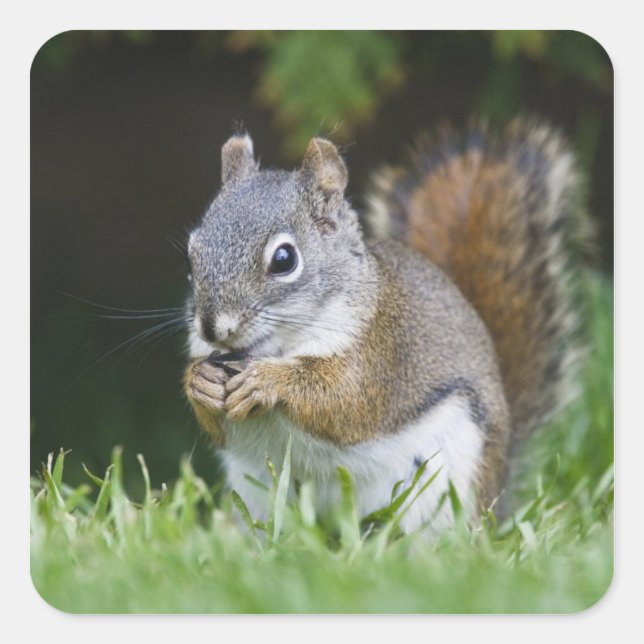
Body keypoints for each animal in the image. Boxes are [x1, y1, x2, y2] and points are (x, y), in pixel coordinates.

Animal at [183, 118, 581, 535]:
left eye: (284, 259)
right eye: (191, 254)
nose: (212, 328)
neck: (277, 347)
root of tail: (496, 497)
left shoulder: (380, 355)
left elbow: (343, 402)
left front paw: (267, 382)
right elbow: (216, 426)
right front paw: (200, 382)